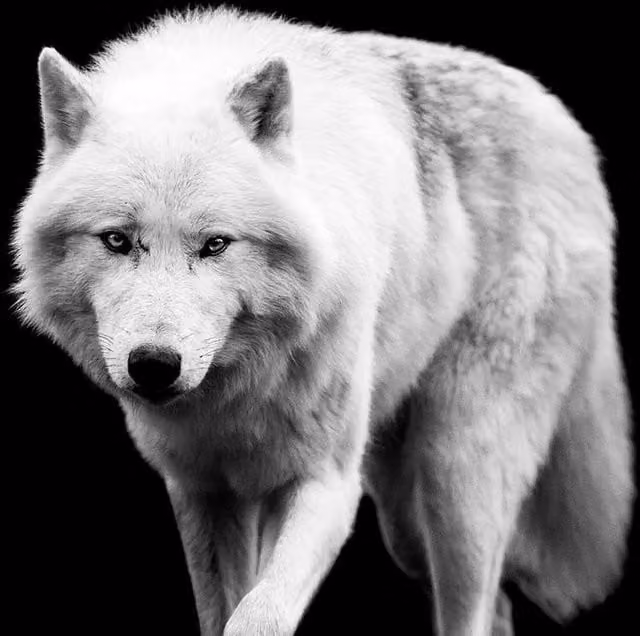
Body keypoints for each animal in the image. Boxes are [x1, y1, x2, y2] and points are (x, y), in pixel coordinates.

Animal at [12, 6, 634, 636]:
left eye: (216, 245)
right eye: (117, 240)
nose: (155, 366)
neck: (241, 391)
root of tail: (563, 121)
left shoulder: (326, 484)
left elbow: (258, 614)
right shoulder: (203, 491)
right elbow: (223, 609)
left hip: (455, 476)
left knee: (473, 607)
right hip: (405, 522)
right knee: (497, 605)